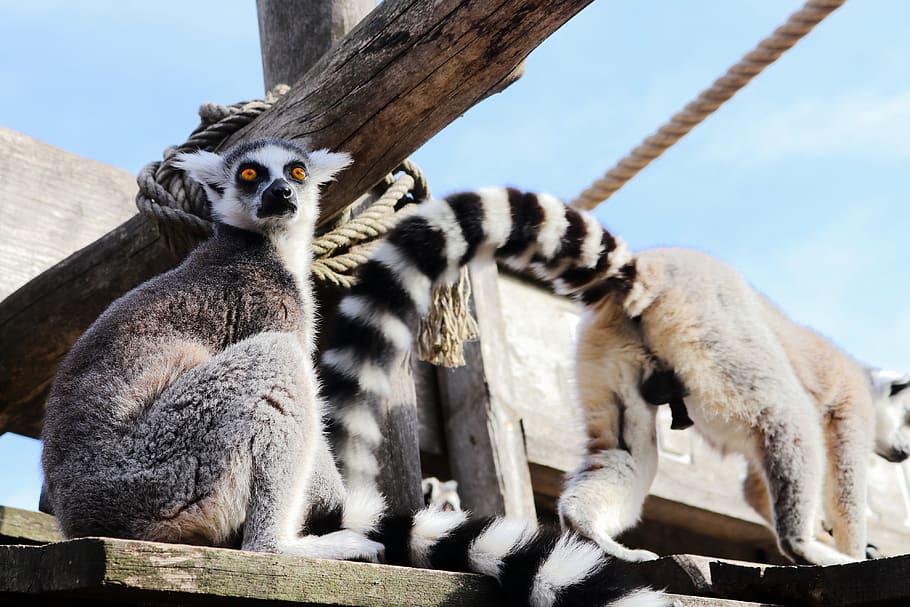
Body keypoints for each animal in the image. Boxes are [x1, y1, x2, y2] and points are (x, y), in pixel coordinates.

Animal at [41, 144, 667, 607]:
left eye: (294, 171)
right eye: (250, 174)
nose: (280, 194)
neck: (264, 245)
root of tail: (83, 518)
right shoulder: (265, 299)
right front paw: (332, 508)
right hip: (162, 472)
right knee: (273, 366)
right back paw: (284, 546)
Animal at [320, 186, 910, 566]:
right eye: (906, 419)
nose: (902, 452)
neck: (863, 375)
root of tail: (650, 270)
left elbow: (753, 486)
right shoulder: (851, 407)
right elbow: (843, 472)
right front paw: (850, 546)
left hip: (606, 354)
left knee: (629, 451)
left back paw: (594, 534)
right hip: (716, 336)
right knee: (785, 417)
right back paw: (802, 546)